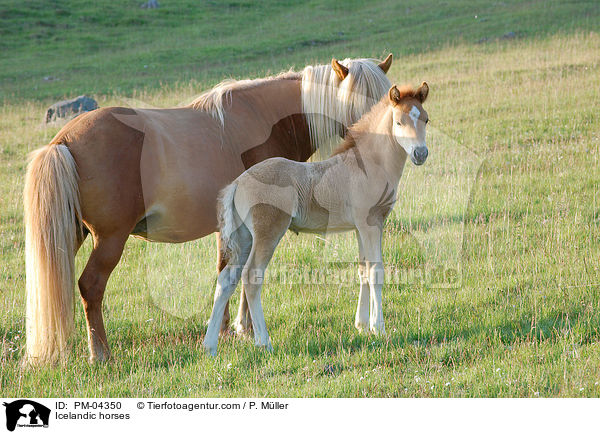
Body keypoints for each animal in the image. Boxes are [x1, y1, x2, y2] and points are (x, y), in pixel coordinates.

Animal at [23, 56, 392, 364]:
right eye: (358, 104)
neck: (264, 121)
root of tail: (63, 141)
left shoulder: (232, 229)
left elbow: (226, 273)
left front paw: (229, 329)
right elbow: (242, 275)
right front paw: (246, 329)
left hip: (70, 235)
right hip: (110, 239)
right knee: (91, 286)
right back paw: (100, 353)